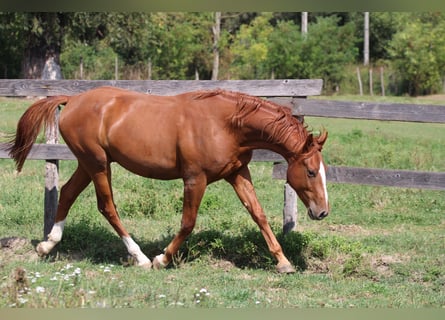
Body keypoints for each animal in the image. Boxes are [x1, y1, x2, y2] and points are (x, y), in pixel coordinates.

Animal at [5, 87, 328, 272]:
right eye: (311, 171)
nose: (322, 212)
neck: (225, 124)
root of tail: (72, 99)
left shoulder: (237, 173)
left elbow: (258, 214)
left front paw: (283, 263)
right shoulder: (195, 179)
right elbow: (188, 223)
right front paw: (162, 259)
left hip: (89, 163)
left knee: (68, 193)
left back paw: (47, 246)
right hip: (97, 164)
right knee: (107, 206)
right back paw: (140, 258)